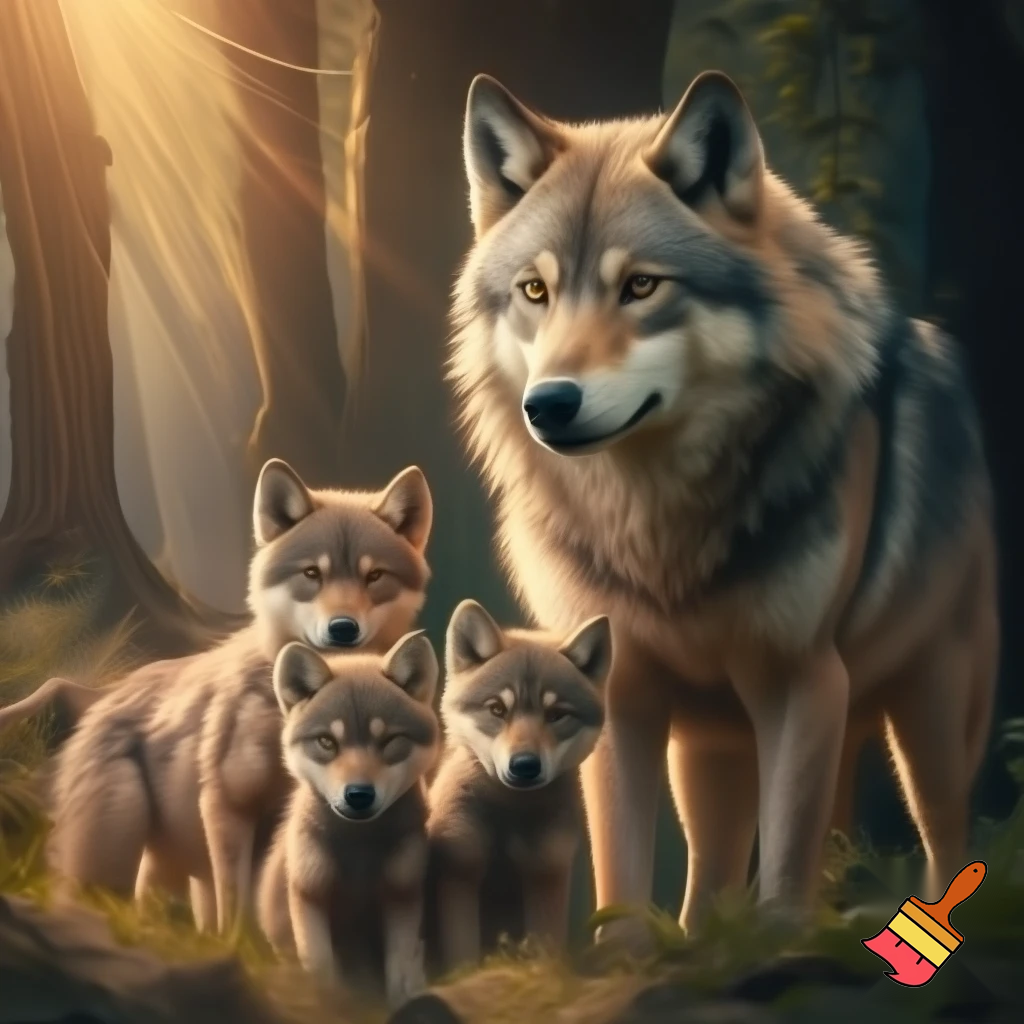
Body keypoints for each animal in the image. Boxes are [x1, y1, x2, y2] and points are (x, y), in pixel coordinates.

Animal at [32, 458, 432, 933]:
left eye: (374, 576)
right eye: (311, 574)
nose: (342, 628)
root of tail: (107, 692)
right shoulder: (228, 806)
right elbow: (238, 903)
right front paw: (240, 943)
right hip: (114, 850)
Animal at [257, 633, 440, 1009]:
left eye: (390, 740)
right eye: (327, 741)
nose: (358, 794)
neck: (360, 851)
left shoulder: (402, 895)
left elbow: (399, 971)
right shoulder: (310, 895)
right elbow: (321, 971)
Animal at [427, 599, 610, 971]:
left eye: (557, 715)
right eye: (497, 709)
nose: (524, 765)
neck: (508, 816)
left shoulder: (545, 875)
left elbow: (545, 951)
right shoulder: (459, 873)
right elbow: (462, 957)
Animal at [448, 69, 999, 938]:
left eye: (641, 286)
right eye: (535, 290)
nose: (550, 404)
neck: (656, 522)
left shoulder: (800, 679)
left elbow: (787, 855)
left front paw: (780, 942)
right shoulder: (622, 693)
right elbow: (622, 861)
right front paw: (626, 953)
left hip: (930, 715)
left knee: (944, 834)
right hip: (712, 742)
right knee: (710, 869)